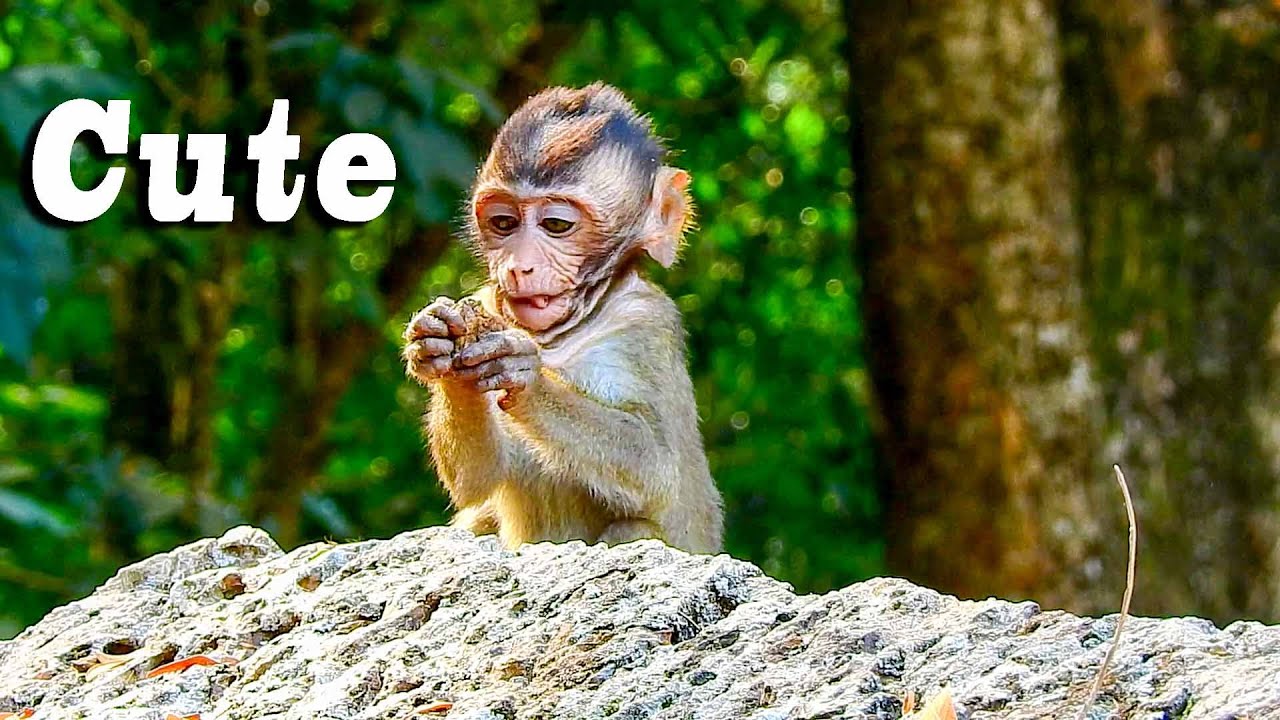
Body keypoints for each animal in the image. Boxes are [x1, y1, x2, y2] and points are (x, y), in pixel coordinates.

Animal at [401, 83, 723, 554]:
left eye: (556, 225)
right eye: (504, 222)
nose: (519, 267)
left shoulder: (646, 324)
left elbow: (658, 468)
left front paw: (525, 376)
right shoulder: (488, 298)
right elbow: (477, 479)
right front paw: (439, 349)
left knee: (636, 528)